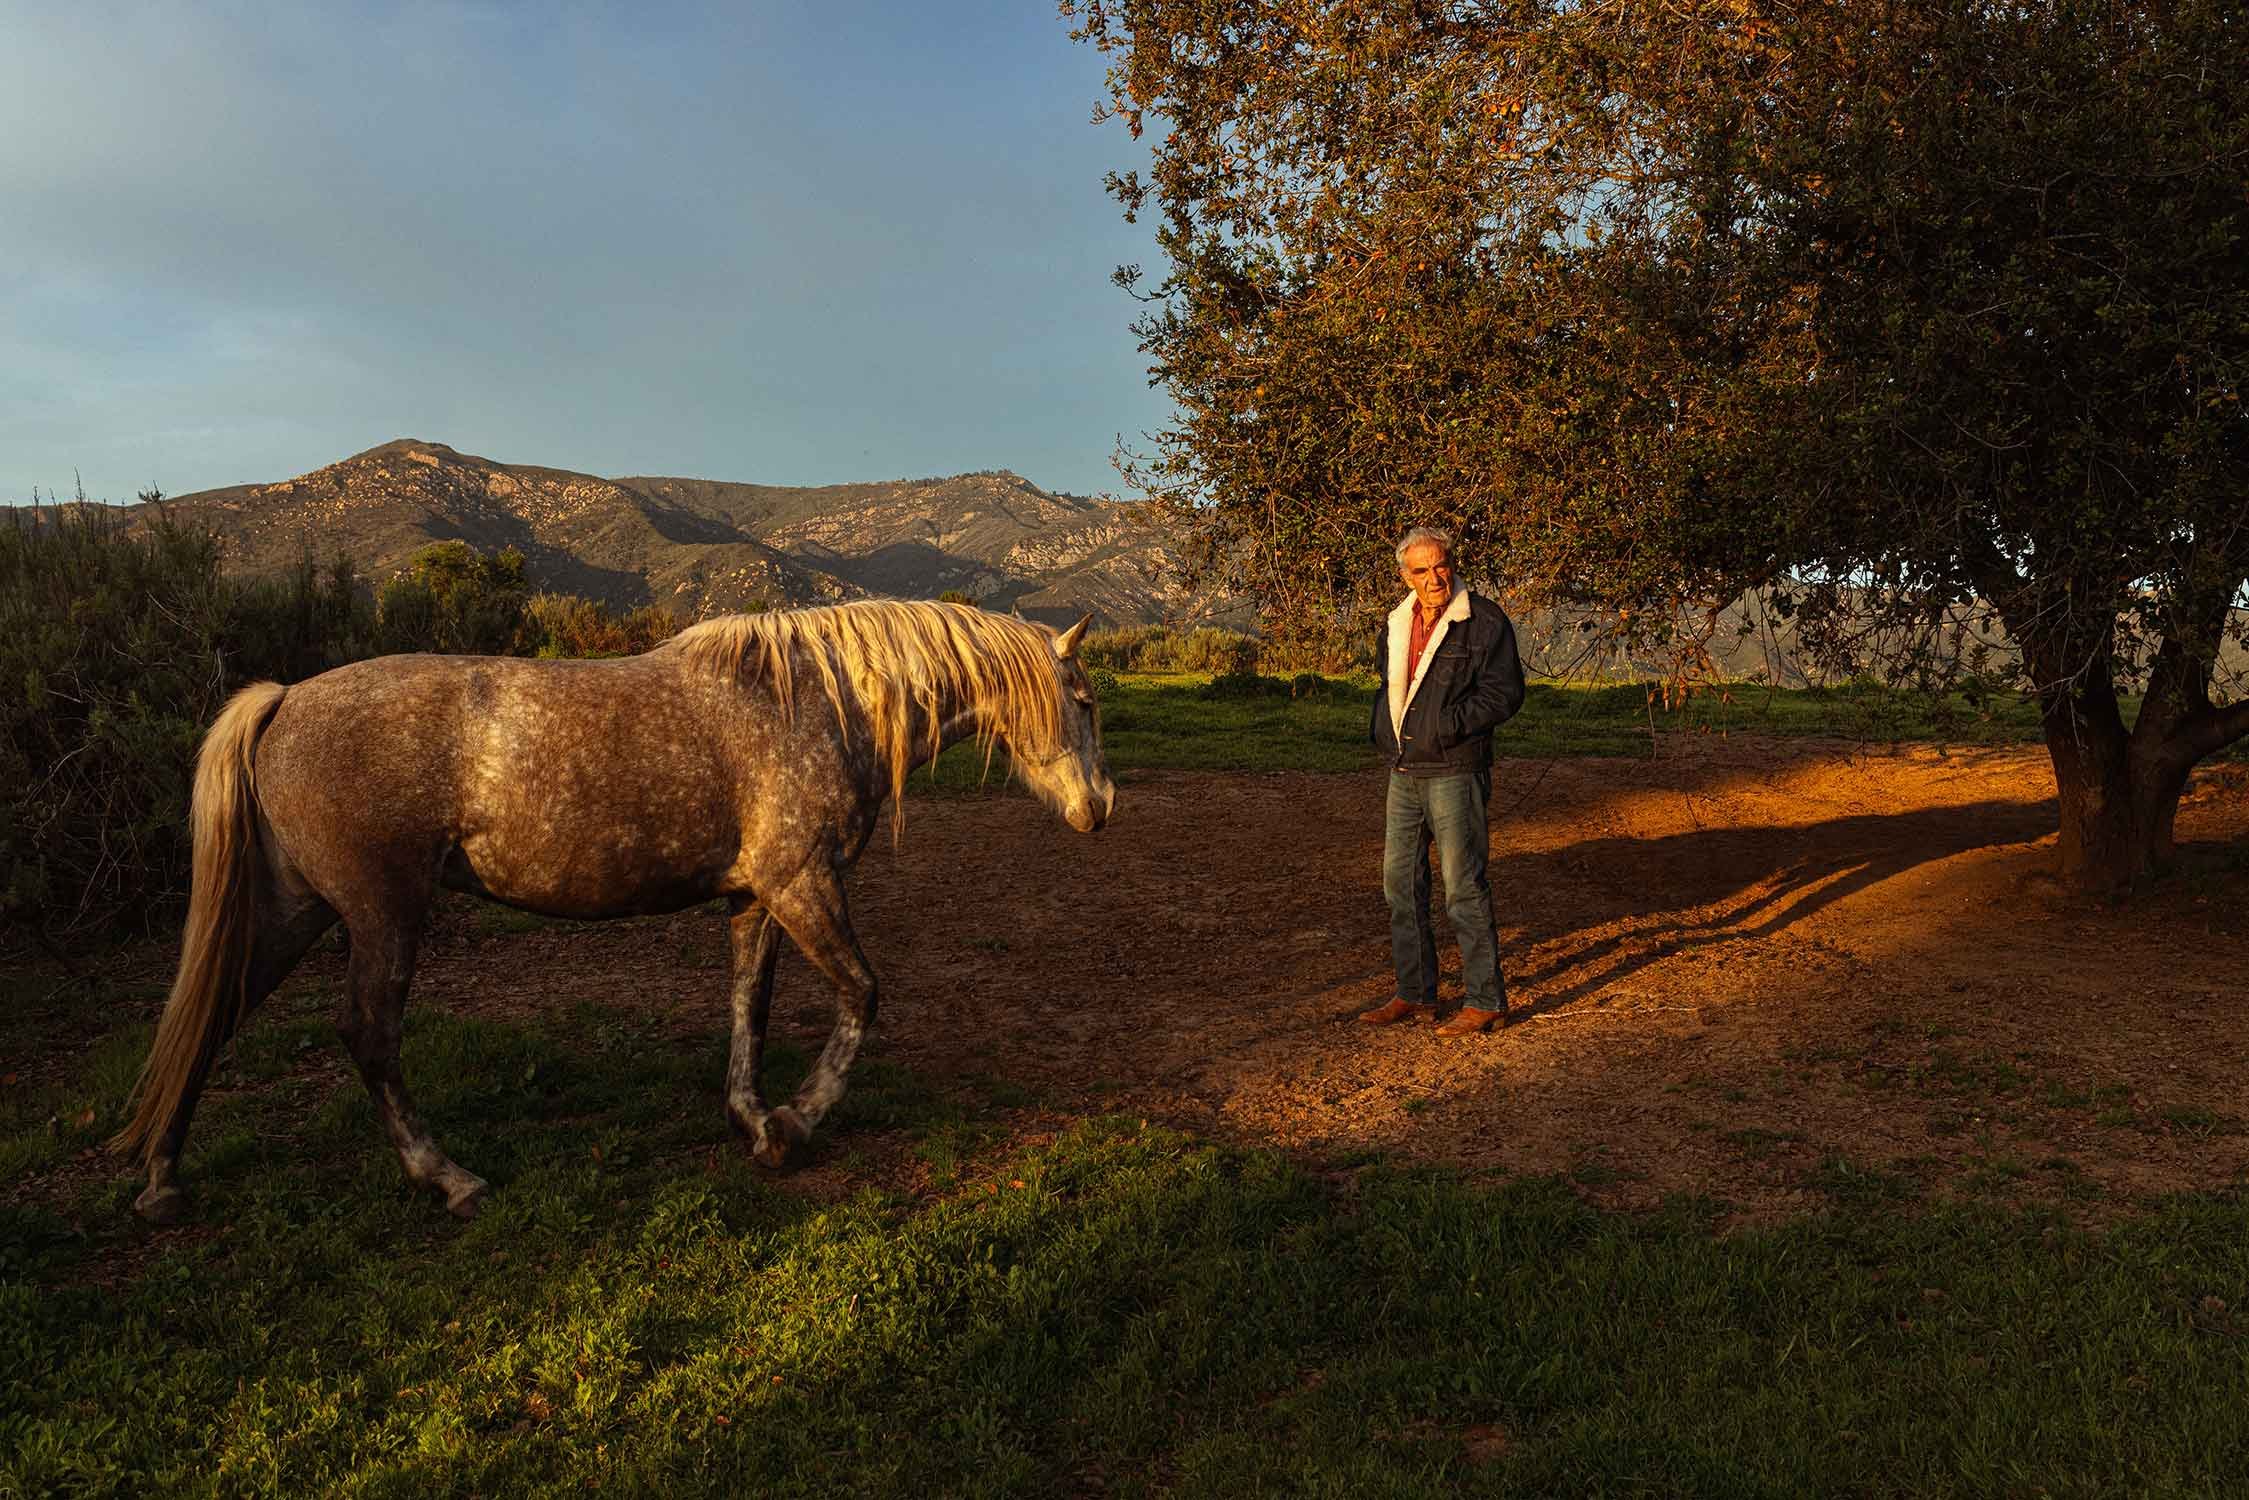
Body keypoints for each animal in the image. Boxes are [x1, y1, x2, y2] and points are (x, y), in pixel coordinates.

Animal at [114, 599, 1114, 1224]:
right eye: (1085, 700)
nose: (1099, 806)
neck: (817, 704)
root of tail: (282, 699)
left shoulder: (759, 898)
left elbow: (749, 1008)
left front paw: (751, 1120)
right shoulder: (803, 884)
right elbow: (861, 997)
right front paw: (795, 1125)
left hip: (299, 909)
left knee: (213, 1015)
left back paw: (163, 1181)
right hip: (381, 913)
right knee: (368, 1035)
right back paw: (450, 1179)